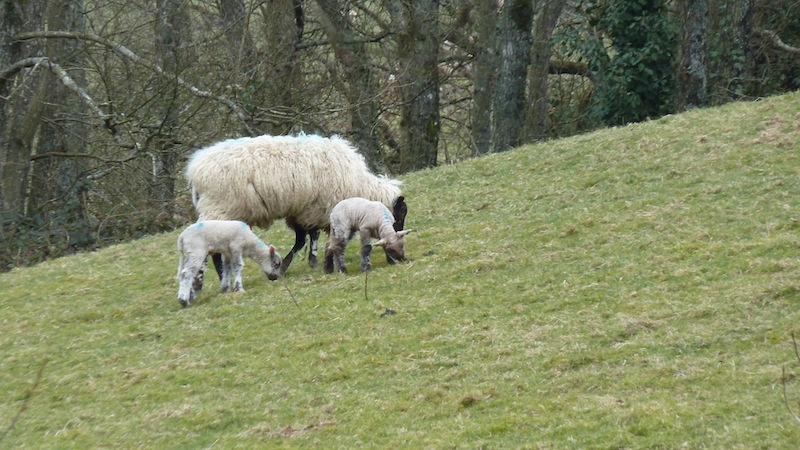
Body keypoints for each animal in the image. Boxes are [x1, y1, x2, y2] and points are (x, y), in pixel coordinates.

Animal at [185, 134, 408, 278]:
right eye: (400, 215)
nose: (397, 236)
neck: (360, 185)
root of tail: (195, 171)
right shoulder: (315, 209)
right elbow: (308, 238)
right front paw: (293, 264)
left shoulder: (302, 211)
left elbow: (305, 238)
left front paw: (301, 262)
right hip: (219, 209)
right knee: (212, 250)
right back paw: (217, 278)